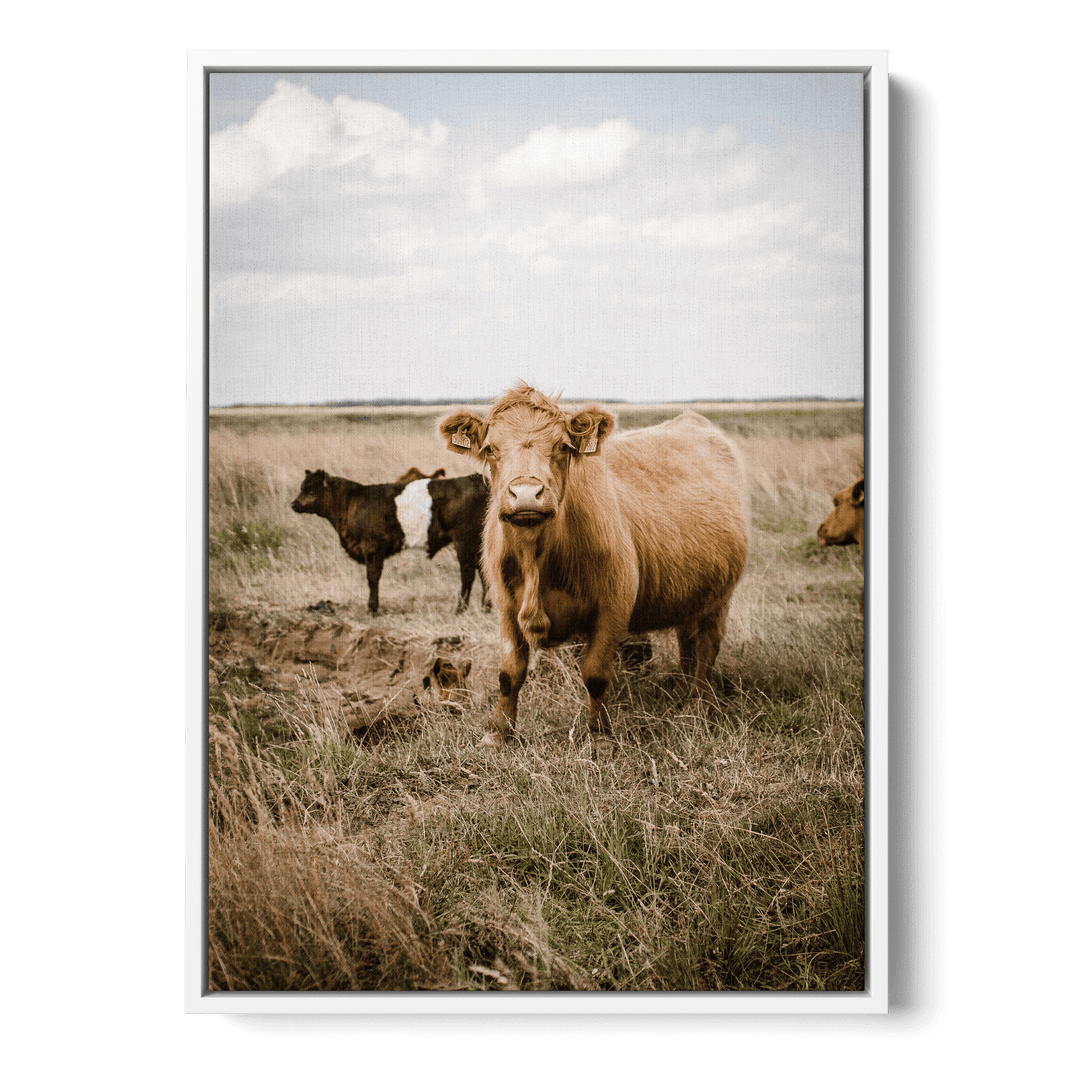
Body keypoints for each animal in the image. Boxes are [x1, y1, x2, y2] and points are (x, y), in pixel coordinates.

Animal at [439, 383, 750, 751]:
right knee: (688, 640)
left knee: (707, 647)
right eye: (490, 449)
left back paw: (697, 704)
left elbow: (596, 674)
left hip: (720, 595)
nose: (526, 494)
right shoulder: (505, 605)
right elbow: (509, 673)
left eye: (562, 446)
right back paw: (680, 685)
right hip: (692, 590)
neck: (537, 558)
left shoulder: (614, 604)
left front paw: (600, 735)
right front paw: (497, 733)